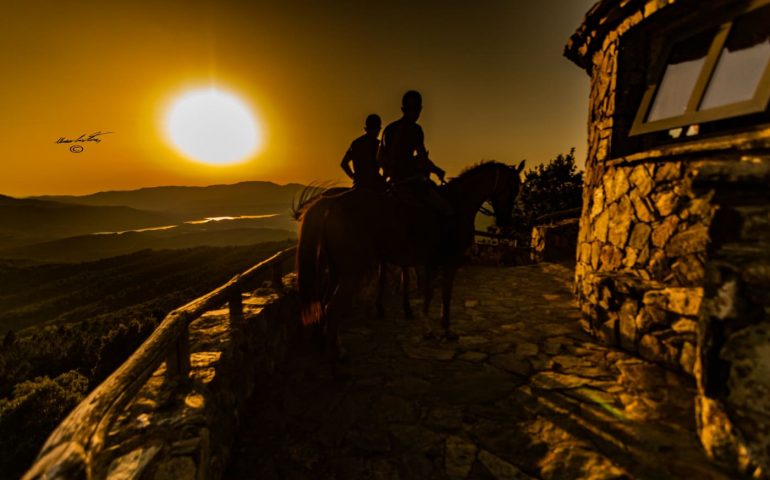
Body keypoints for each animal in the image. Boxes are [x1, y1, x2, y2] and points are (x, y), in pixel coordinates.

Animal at [294, 161, 520, 360]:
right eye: (511, 188)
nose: (505, 222)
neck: (458, 204)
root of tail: (331, 203)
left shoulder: (431, 263)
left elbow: (429, 294)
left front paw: (427, 328)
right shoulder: (450, 262)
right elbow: (445, 296)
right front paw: (446, 330)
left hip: (335, 270)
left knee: (323, 304)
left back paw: (324, 342)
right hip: (351, 271)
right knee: (332, 307)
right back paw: (337, 352)